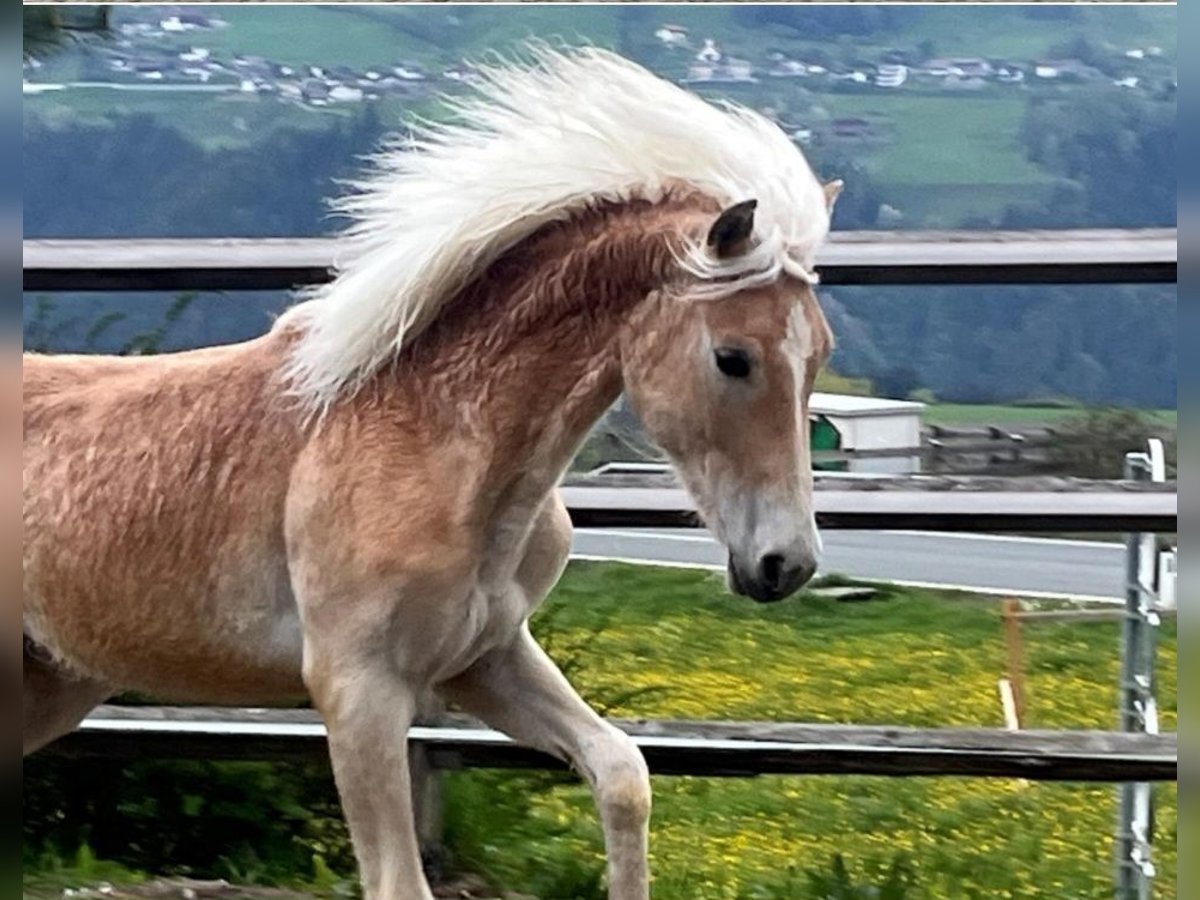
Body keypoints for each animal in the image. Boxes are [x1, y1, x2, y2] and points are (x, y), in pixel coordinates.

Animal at [23, 49, 840, 900]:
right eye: (732, 357)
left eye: (820, 353)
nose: (784, 565)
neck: (435, 445)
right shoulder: (359, 690)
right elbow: (398, 880)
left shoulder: (486, 659)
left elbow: (623, 773)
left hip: (50, 681)